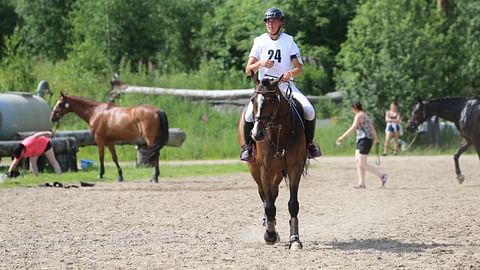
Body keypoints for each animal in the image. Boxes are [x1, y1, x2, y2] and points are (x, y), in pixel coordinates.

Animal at [237, 74, 308, 249]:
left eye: (271, 100)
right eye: (253, 99)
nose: (257, 134)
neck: (279, 133)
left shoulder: (294, 168)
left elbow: (293, 204)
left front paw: (294, 239)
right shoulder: (265, 169)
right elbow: (268, 204)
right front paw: (270, 235)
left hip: (278, 173)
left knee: (273, 193)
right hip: (255, 169)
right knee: (264, 195)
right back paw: (269, 225)